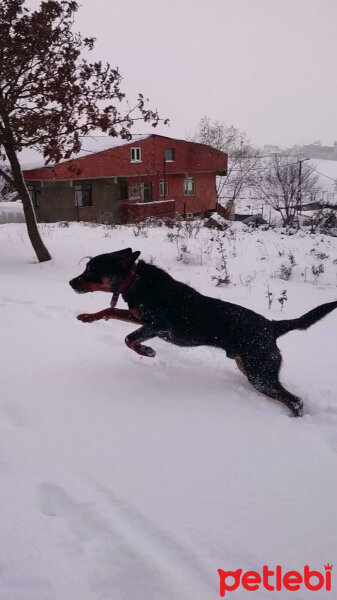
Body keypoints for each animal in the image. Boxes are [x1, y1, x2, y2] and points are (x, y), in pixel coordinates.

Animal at [69, 248, 336, 418]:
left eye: (91, 269)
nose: (71, 282)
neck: (135, 281)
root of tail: (272, 326)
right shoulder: (137, 316)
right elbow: (109, 310)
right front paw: (88, 316)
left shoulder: (159, 325)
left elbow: (129, 339)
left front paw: (147, 351)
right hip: (250, 366)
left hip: (260, 374)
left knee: (295, 400)